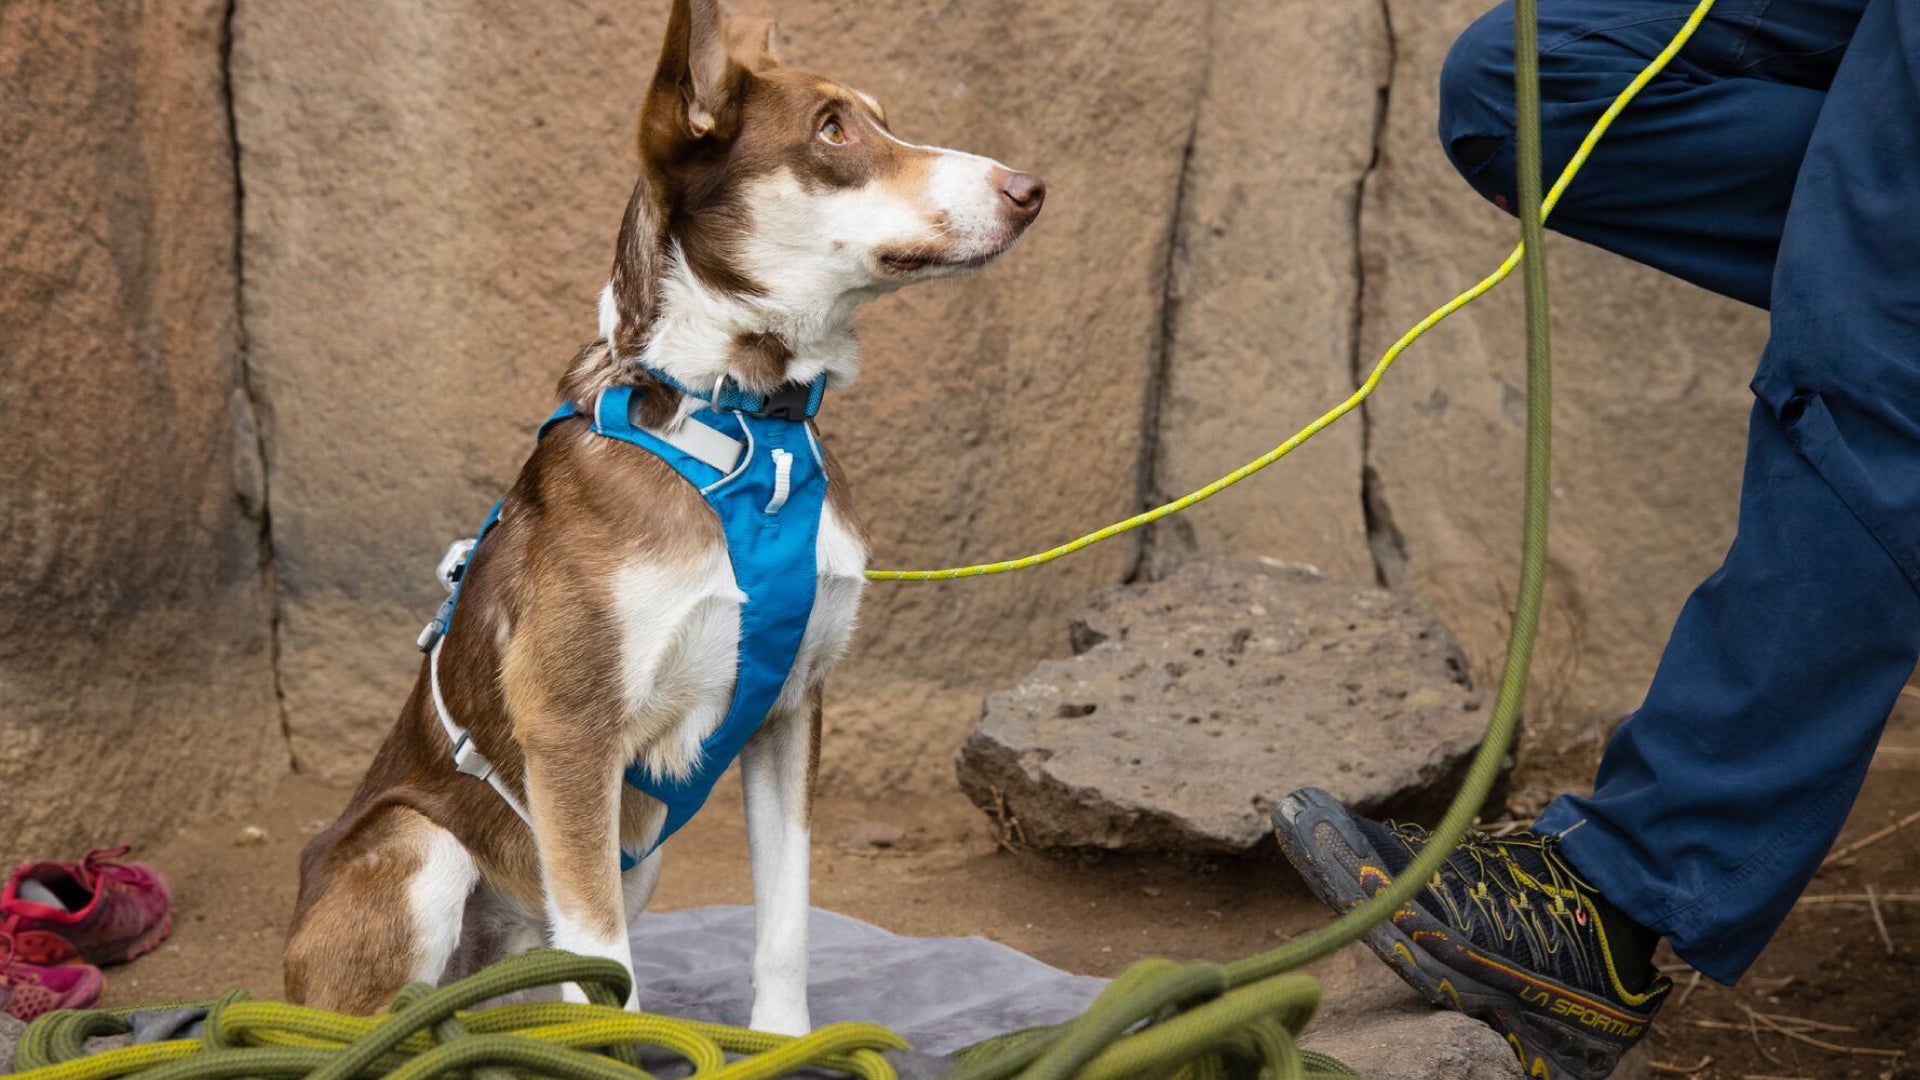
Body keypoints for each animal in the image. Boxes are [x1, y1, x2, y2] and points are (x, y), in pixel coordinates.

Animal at [280, 0, 1052, 1030]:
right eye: (832, 131)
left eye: (880, 120)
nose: (1030, 189)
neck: (742, 422)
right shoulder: (569, 728)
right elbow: (607, 967)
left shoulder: (792, 711)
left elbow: (786, 919)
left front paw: (783, 1042)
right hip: (417, 844)